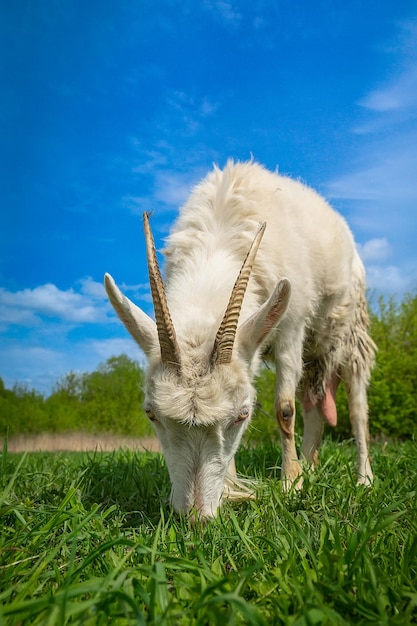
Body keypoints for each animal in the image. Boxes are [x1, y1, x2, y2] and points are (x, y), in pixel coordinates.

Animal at [105, 160, 376, 516]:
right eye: (151, 414)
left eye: (243, 415)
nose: (195, 517)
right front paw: (232, 487)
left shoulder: (292, 327)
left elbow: (284, 409)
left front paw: (291, 485)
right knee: (312, 402)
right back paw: (310, 466)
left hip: (348, 327)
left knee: (356, 403)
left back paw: (363, 479)